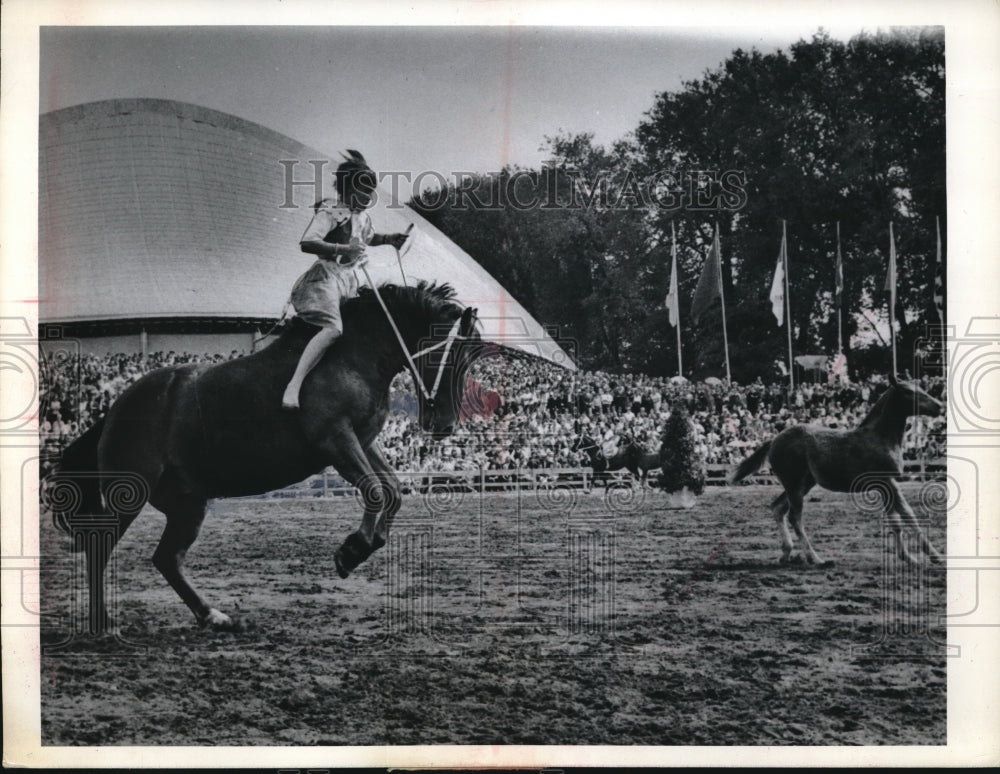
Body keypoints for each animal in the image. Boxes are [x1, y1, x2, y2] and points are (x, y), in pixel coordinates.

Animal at [48, 282, 482, 632]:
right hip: (129, 494)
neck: (350, 357)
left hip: (188, 503)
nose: (444, 424)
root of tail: (115, 409)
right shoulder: (336, 441)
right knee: (101, 547)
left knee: (166, 558)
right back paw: (102, 622)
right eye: (452, 355)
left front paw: (363, 546)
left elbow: (392, 490)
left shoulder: (363, 441)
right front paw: (353, 549)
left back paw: (212, 616)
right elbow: (377, 492)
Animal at [732, 378, 940, 568]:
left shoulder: (886, 485)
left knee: (777, 508)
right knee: (794, 517)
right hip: (794, 483)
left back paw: (786, 554)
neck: (880, 437)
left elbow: (897, 519)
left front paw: (909, 558)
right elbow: (906, 516)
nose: (939, 406)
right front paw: (932, 556)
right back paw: (815, 558)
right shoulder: (887, 482)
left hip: (803, 484)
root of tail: (774, 439)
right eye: (908, 391)